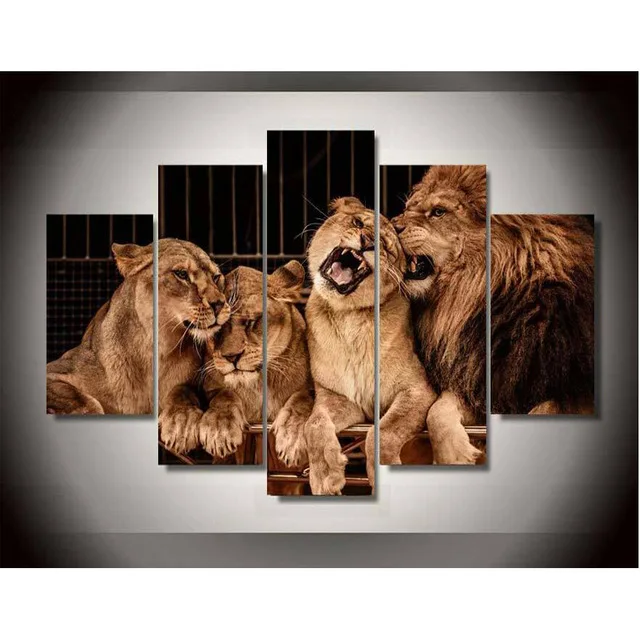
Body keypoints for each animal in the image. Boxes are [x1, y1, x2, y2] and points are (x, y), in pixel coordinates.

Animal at [200, 263, 313, 476]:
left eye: (251, 322)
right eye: (217, 330)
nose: (231, 357)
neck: (258, 383)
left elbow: (303, 400)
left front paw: (292, 437)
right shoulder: (211, 387)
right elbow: (223, 396)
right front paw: (219, 430)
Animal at [304, 197, 435, 495]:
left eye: (386, 248)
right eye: (357, 223)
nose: (367, 242)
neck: (350, 317)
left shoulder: (418, 390)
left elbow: (383, 431)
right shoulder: (338, 397)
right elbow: (314, 424)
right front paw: (326, 474)